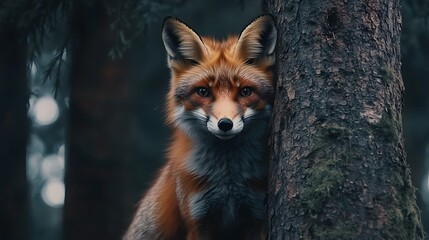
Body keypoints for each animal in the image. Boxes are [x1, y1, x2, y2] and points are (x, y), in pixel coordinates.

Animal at [125, 14, 276, 240]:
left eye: (245, 91)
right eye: (203, 92)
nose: (225, 124)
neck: (228, 178)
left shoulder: (255, 216)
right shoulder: (198, 221)